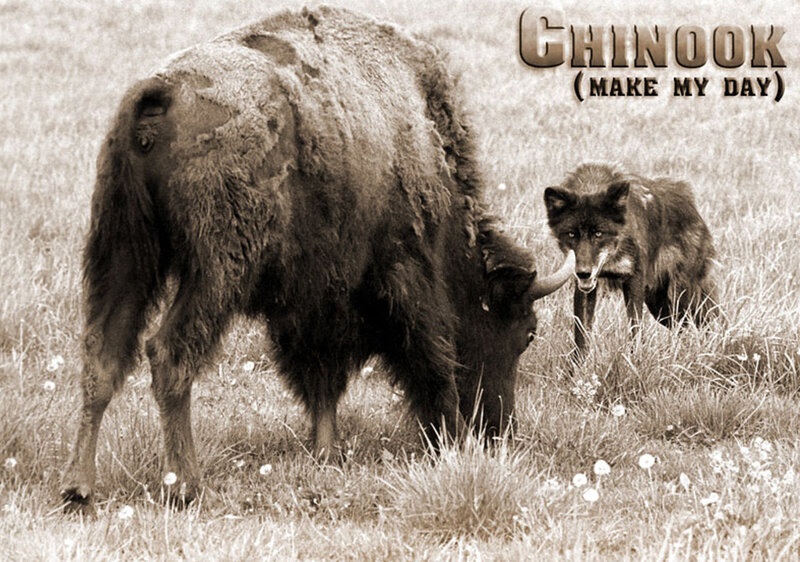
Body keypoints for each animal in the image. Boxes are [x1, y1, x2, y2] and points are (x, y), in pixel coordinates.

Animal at [62, 5, 573, 510]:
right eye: (526, 332)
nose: (499, 431)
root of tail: (161, 90)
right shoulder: (404, 274)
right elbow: (433, 359)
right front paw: (450, 438)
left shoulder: (317, 298)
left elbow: (321, 376)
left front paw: (325, 450)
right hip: (216, 271)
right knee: (169, 354)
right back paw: (185, 485)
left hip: (122, 253)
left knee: (102, 356)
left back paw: (79, 487)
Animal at [544, 163, 719, 356]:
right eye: (571, 234)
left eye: (598, 234)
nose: (583, 272)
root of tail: (691, 202)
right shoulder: (585, 288)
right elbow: (581, 335)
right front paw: (578, 364)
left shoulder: (634, 280)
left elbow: (635, 328)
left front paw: (634, 359)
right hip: (659, 305)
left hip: (679, 298)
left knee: (698, 323)